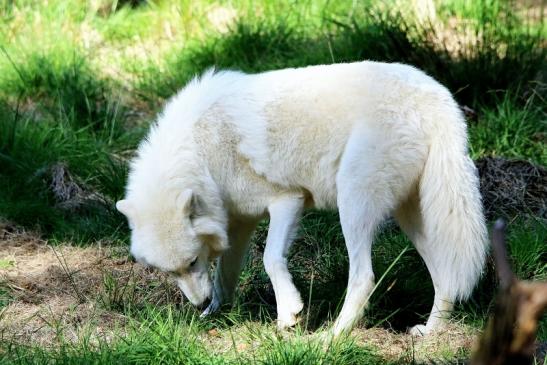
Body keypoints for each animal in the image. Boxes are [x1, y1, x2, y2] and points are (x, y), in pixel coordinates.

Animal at [116, 60, 488, 336]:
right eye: (172, 272)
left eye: (193, 262)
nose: (198, 305)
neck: (201, 152)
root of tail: (438, 98)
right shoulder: (239, 223)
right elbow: (224, 277)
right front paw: (212, 316)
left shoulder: (287, 200)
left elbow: (270, 259)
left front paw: (288, 315)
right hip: (414, 220)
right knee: (447, 278)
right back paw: (430, 331)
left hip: (353, 204)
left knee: (364, 277)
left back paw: (333, 336)